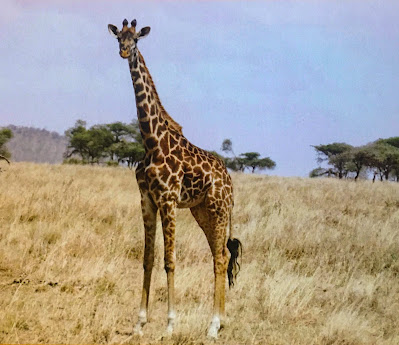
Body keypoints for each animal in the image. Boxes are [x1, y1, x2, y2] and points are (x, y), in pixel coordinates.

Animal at [108, 18, 242, 336]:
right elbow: (148, 259)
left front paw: (170, 324)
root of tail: (230, 182)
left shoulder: (168, 200)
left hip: (218, 210)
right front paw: (140, 323)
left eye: (136, 39)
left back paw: (213, 326)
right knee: (218, 256)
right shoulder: (147, 199)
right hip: (201, 211)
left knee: (221, 259)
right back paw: (218, 323)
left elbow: (170, 260)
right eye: (118, 37)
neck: (151, 141)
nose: (124, 51)